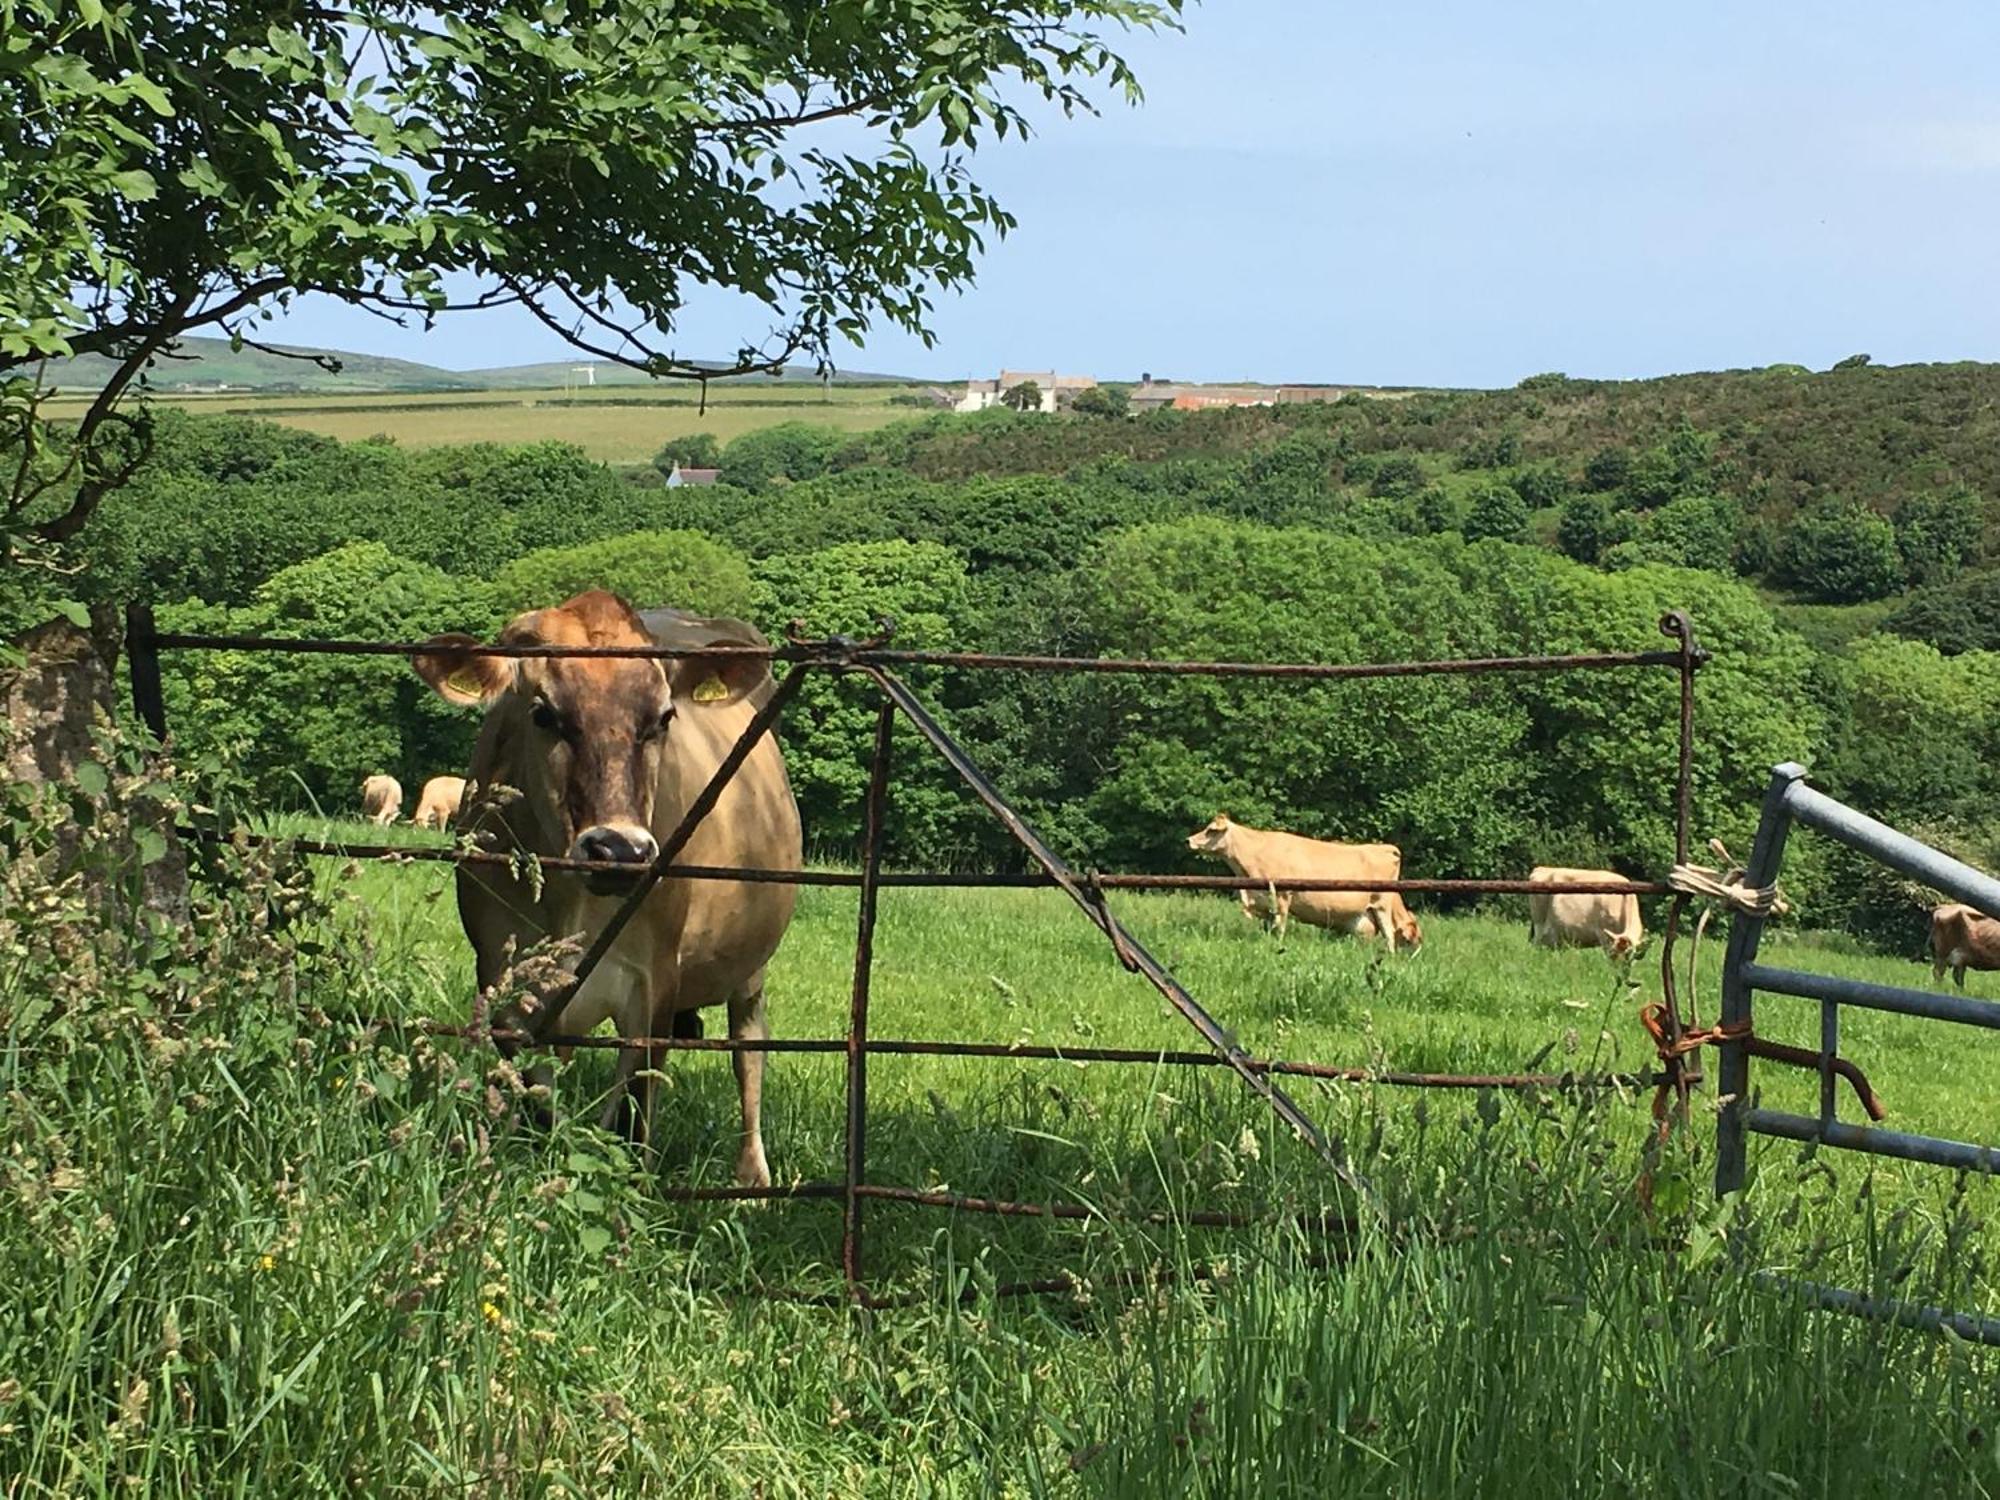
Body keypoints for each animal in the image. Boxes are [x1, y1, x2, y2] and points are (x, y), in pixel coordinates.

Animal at [410, 588, 800, 1184]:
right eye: (543, 713)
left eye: (663, 717)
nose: (619, 850)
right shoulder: (503, 971)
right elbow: (537, 1098)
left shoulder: (656, 978)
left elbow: (635, 1109)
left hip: (750, 961)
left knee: (748, 1048)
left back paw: (751, 1173)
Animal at [1184, 816, 1424, 956]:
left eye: (1210, 830)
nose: (1188, 840)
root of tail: (1386, 848)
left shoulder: (1282, 896)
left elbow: (1279, 926)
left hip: (1381, 904)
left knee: (1388, 934)